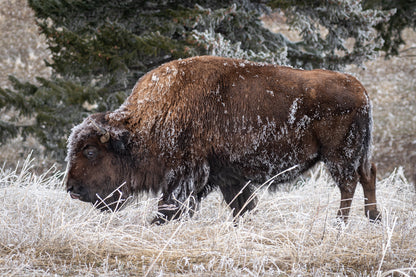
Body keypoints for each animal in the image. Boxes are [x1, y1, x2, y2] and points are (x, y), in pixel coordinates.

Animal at [65, 55, 380, 223]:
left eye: (90, 152)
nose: (71, 189)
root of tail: (361, 90)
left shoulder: (185, 175)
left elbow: (172, 205)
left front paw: (157, 222)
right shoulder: (227, 175)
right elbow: (241, 205)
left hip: (339, 155)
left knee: (349, 183)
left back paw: (340, 223)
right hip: (356, 153)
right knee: (368, 174)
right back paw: (373, 218)